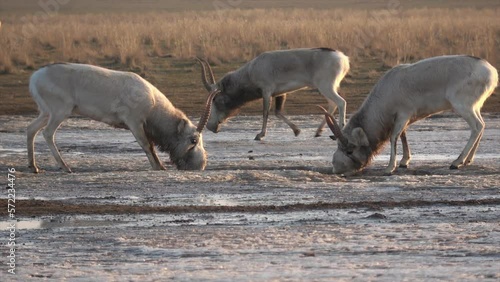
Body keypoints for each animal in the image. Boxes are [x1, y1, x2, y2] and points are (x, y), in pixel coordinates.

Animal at [26, 63, 216, 172]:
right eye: (193, 140)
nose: (201, 165)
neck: (153, 102)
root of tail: (35, 77)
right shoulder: (135, 122)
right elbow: (147, 144)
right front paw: (159, 166)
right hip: (60, 112)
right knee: (47, 133)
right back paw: (65, 167)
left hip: (46, 113)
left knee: (31, 129)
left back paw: (34, 167)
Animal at [197, 48, 350, 141]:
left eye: (215, 99)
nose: (211, 126)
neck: (250, 71)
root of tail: (343, 58)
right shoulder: (280, 93)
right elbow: (277, 112)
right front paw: (296, 130)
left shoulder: (266, 91)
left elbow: (265, 112)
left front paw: (260, 135)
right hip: (326, 87)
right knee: (332, 104)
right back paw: (318, 131)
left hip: (325, 86)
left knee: (341, 102)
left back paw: (339, 131)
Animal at [318, 54, 498, 175]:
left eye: (350, 150)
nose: (335, 168)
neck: (386, 90)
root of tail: (491, 72)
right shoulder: (403, 117)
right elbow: (403, 134)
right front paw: (404, 161)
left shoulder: (403, 114)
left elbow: (394, 137)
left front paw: (390, 167)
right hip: (475, 106)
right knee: (482, 125)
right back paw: (468, 160)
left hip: (462, 106)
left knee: (477, 126)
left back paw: (457, 162)